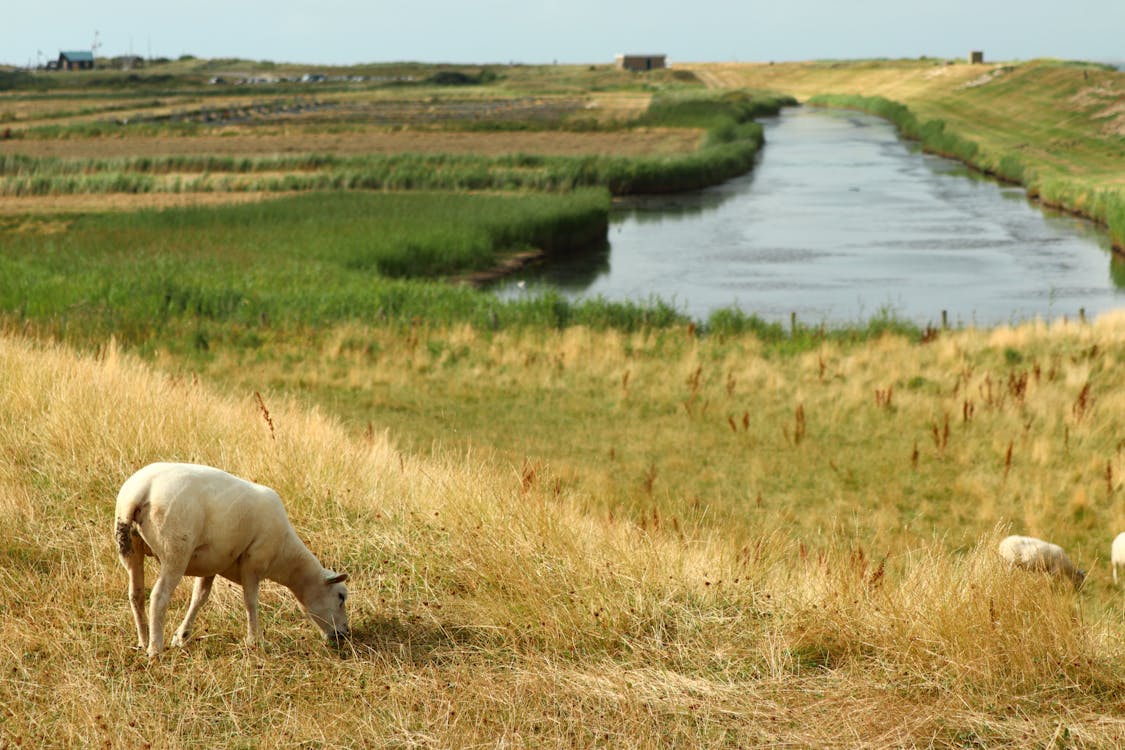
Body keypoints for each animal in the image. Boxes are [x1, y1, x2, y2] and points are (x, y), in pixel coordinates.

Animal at [115, 463, 346, 656]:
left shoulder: (210, 565)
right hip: (175, 550)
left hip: (130, 549)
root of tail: (140, 491)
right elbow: (250, 601)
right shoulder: (253, 563)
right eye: (341, 596)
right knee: (159, 596)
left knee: (136, 594)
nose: (343, 635)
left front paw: (181, 636)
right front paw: (255, 640)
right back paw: (155, 649)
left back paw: (143, 640)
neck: (285, 556)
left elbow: (199, 598)